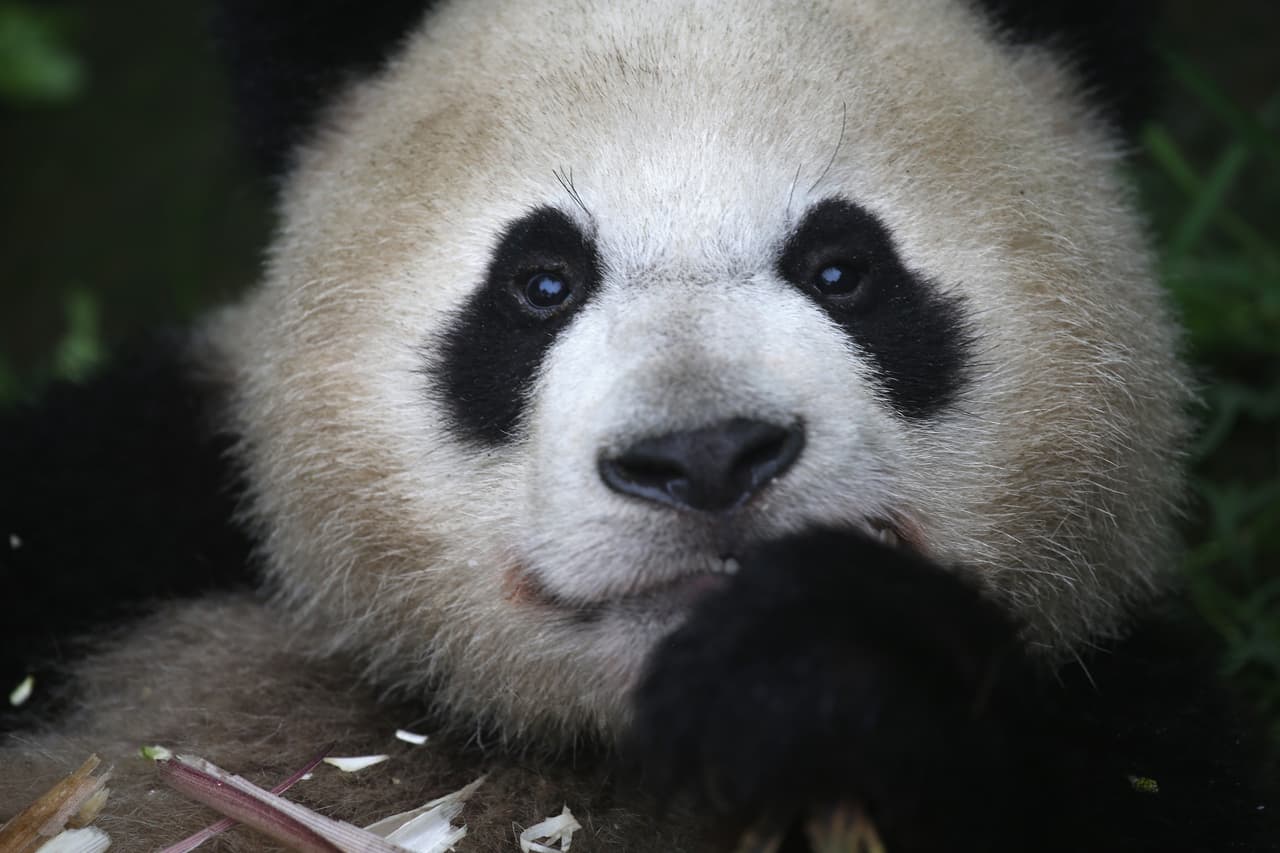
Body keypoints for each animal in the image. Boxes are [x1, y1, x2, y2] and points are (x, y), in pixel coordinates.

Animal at [1, 0, 1276, 850]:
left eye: (842, 268)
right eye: (540, 282)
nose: (704, 456)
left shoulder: (1129, 714)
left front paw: (815, 667)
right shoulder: (143, 487)